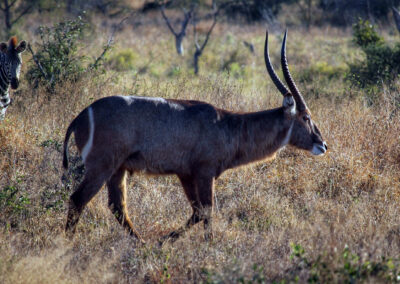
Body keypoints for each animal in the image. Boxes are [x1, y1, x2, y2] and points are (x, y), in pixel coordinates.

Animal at [62, 30, 324, 244]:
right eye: (306, 117)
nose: (323, 144)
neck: (228, 125)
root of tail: (82, 115)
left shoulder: (186, 174)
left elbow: (197, 212)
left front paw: (165, 241)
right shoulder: (204, 173)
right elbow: (207, 211)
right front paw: (209, 247)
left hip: (118, 170)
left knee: (118, 207)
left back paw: (143, 243)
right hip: (102, 167)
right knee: (77, 200)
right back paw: (69, 244)